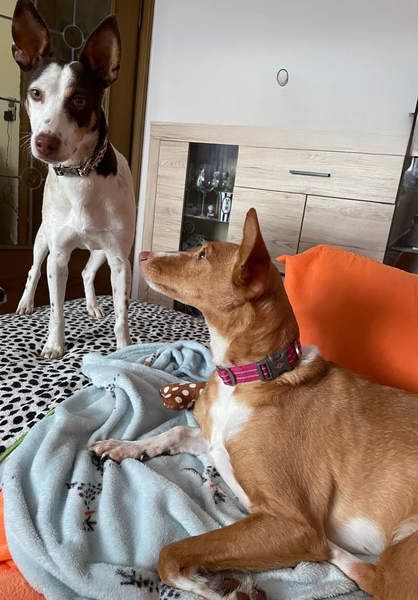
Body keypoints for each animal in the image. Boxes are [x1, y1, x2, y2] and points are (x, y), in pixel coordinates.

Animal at [12, 0, 136, 358]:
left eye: (79, 99)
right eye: (35, 93)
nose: (44, 143)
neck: (80, 176)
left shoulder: (120, 259)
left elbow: (122, 315)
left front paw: (124, 350)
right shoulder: (58, 256)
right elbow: (56, 308)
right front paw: (55, 344)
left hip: (101, 250)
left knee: (88, 271)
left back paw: (93, 305)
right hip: (42, 239)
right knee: (32, 270)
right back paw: (25, 303)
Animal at [91, 209, 418, 600]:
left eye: (202, 254)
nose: (140, 254)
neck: (249, 377)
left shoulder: (294, 525)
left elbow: (170, 553)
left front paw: (215, 589)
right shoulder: (212, 441)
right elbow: (175, 432)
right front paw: (124, 446)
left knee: (373, 577)